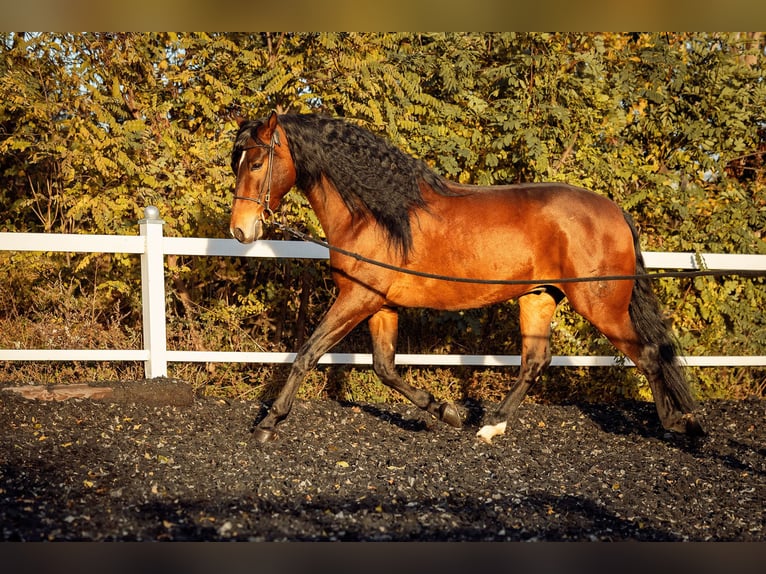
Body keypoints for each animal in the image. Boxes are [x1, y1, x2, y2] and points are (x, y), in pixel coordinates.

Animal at [229, 111, 706, 444]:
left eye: (256, 162)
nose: (240, 231)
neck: (376, 216)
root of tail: (614, 212)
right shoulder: (381, 304)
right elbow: (384, 368)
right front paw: (446, 412)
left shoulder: (357, 299)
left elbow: (307, 354)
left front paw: (268, 423)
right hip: (539, 297)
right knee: (535, 361)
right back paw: (490, 426)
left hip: (600, 306)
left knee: (649, 354)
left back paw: (681, 424)